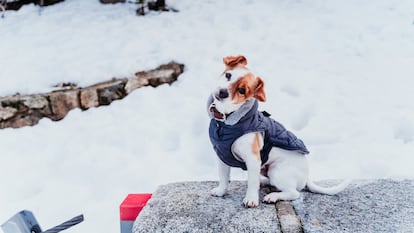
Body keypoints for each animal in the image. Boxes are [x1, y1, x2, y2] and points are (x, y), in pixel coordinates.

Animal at [207, 55, 350, 208]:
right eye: (228, 75)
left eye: (242, 90)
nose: (223, 92)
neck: (226, 121)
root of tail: (307, 177)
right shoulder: (222, 157)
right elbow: (223, 177)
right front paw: (221, 192)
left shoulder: (253, 159)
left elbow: (252, 183)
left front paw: (251, 199)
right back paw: (264, 182)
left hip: (277, 171)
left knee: (294, 193)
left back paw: (273, 196)